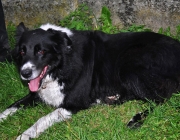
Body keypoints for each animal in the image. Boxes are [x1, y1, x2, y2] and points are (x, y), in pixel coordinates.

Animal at [1, 21, 180, 139]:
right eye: (22, 51)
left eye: (41, 51)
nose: (25, 73)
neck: (62, 64)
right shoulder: (36, 93)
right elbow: (10, 107)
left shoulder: (73, 103)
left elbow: (42, 119)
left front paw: (25, 135)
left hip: (129, 62)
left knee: (160, 97)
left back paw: (135, 119)